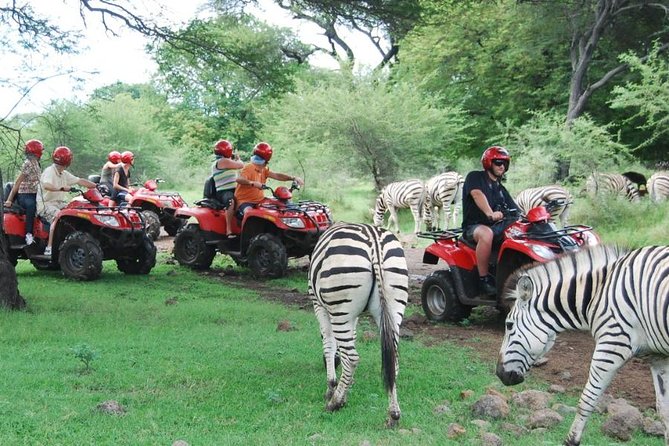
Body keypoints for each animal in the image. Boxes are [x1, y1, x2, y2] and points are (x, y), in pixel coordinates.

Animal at [308, 223, 408, 428]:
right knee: (393, 361)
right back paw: (393, 414)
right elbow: (350, 339)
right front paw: (346, 386)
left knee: (352, 358)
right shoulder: (353, 316)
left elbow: (328, 344)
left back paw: (334, 403)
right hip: (394, 307)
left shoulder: (319, 305)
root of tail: (375, 243)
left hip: (340, 306)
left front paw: (332, 388)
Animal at [494, 244, 668, 446]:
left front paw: (571, 440)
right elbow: (664, 411)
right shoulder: (659, 357)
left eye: (509, 325)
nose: (499, 373)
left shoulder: (612, 345)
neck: (599, 291)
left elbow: (586, 400)